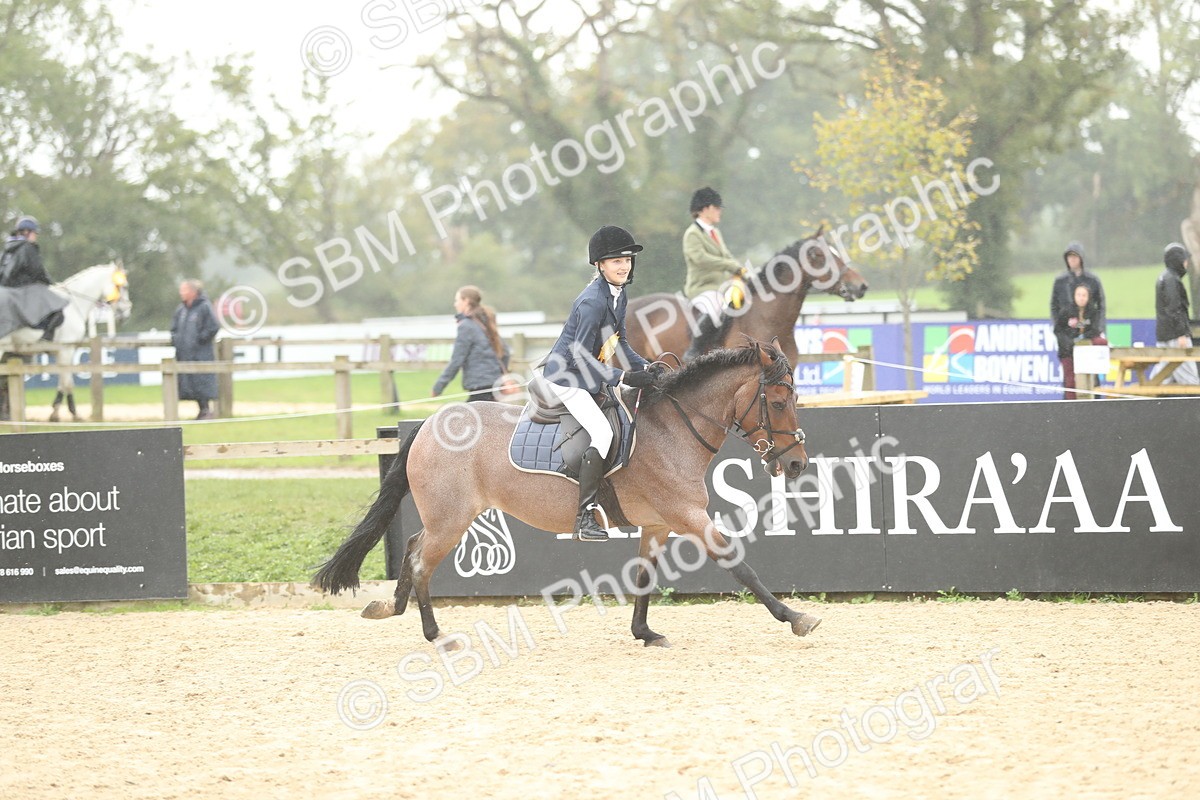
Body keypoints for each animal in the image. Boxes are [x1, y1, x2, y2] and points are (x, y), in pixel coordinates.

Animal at [0, 263, 132, 422]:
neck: (74, 304)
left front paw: (55, 413)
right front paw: (71, 413)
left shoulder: (61, 353)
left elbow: (63, 382)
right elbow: (68, 383)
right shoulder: (66, 351)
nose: (126, 314)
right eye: (124, 286)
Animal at [313, 339, 822, 649]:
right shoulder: (688, 516)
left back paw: (390, 608)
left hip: (447, 517)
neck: (673, 427)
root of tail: (428, 424)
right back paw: (435, 634)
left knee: (414, 548)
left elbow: (644, 577)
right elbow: (739, 565)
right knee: (421, 559)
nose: (797, 463)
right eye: (779, 402)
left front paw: (644, 632)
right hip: (452, 519)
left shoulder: (658, 524)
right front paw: (795, 616)